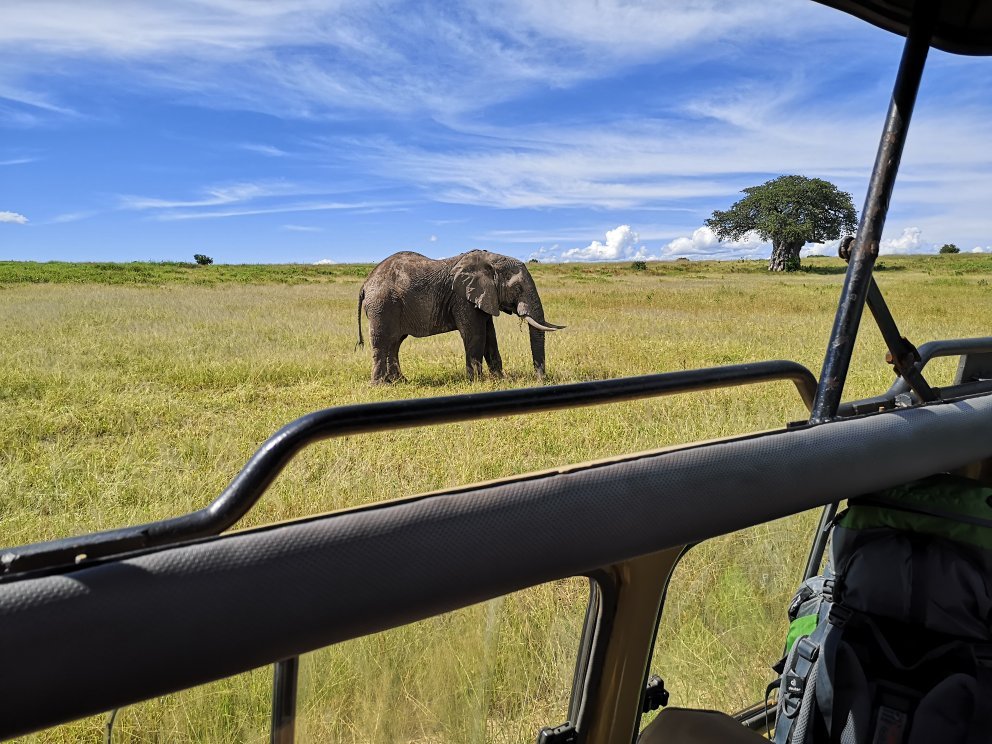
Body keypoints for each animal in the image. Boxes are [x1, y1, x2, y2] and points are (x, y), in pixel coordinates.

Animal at [356, 250, 565, 383]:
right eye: (518, 288)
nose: (540, 380)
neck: (490, 260)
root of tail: (365, 284)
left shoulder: (483, 297)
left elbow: (490, 336)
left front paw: (500, 380)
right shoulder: (462, 298)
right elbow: (476, 335)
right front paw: (476, 383)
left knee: (395, 343)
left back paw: (399, 382)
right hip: (382, 306)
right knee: (382, 342)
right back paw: (379, 385)